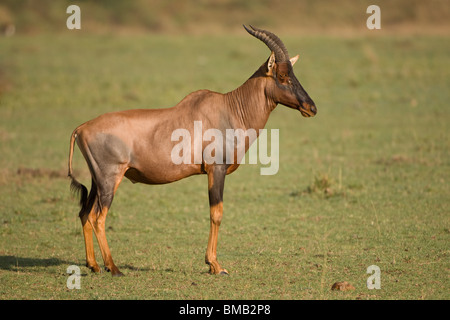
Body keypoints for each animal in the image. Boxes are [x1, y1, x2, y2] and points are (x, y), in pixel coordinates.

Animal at [68, 25, 318, 276]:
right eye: (283, 76)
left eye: (294, 74)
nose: (311, 108)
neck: (229, 108)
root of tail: (81, 128)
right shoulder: (216, 169)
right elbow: (216, 213)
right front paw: (215, 265)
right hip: (110, 179)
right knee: (98, 217)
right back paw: (114, 267)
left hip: (97, 180)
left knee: (85, 214)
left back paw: (94, 265)